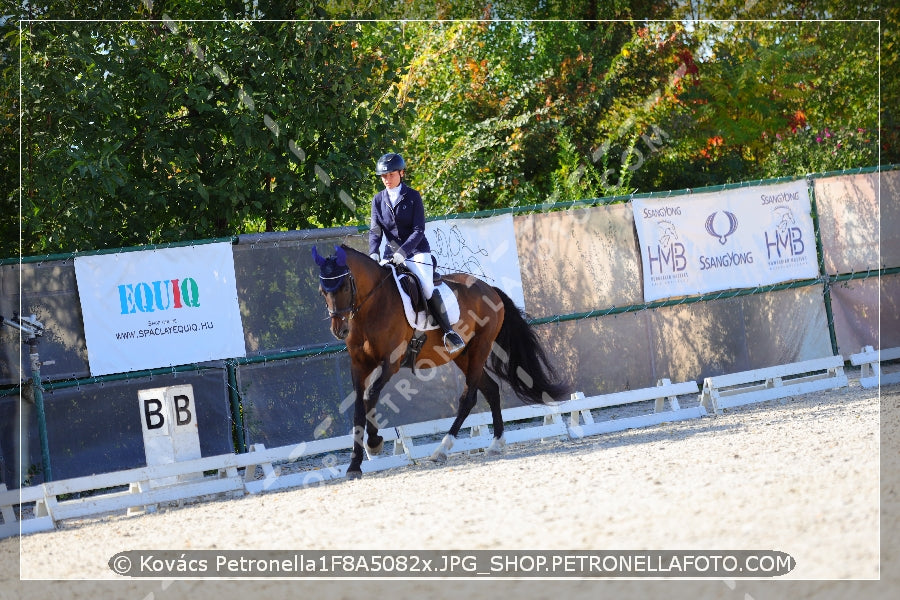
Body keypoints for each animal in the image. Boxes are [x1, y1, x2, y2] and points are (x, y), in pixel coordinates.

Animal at [312, 241, 568, 480]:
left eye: (345, 285)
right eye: (322, 290)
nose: (340, 330)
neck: (373, 306)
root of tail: (489, 288)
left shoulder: (391, 362)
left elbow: (370, 395)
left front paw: (374, 443)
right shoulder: (359, 365)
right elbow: (358, 408)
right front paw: (354, 466)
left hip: (480, 347)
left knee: (468, 398)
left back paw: (442, 450)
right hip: (462, 355)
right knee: (491, 389)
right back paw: (496, 443)